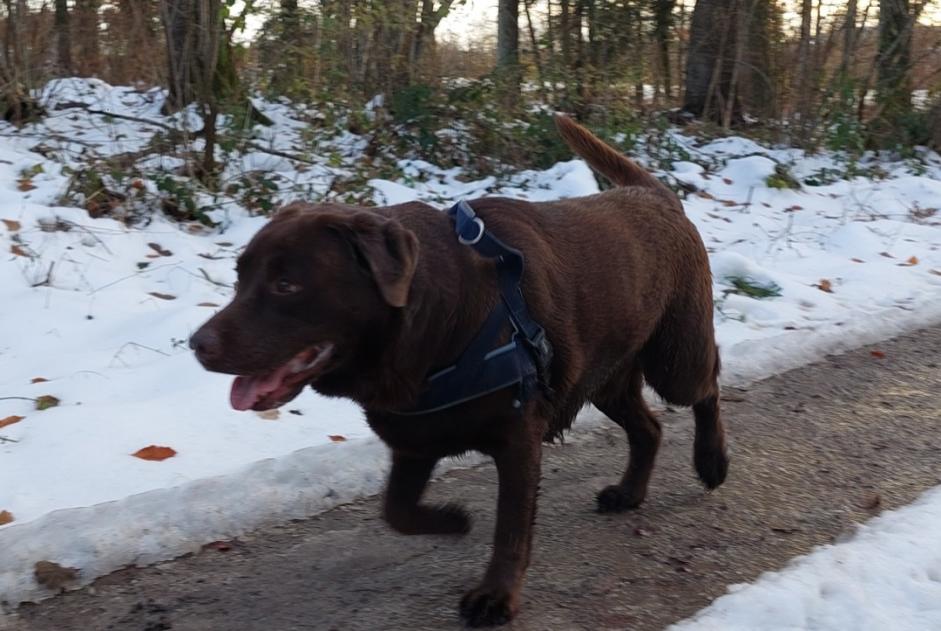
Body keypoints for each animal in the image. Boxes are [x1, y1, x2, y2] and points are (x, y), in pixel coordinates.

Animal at [189, 117, 728, 628]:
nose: (197, 344)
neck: (437, 323)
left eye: (287, 284)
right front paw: (454, 520)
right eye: (239, 276)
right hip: (607, 378)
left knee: (708, 386)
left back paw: (712, 462)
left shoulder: (518, 439)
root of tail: (655, 194)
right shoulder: (413, 439)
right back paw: (630, 492)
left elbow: (510, 528)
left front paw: (495, 597)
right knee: (649, 428)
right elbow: (397, 511)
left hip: (674, 358)